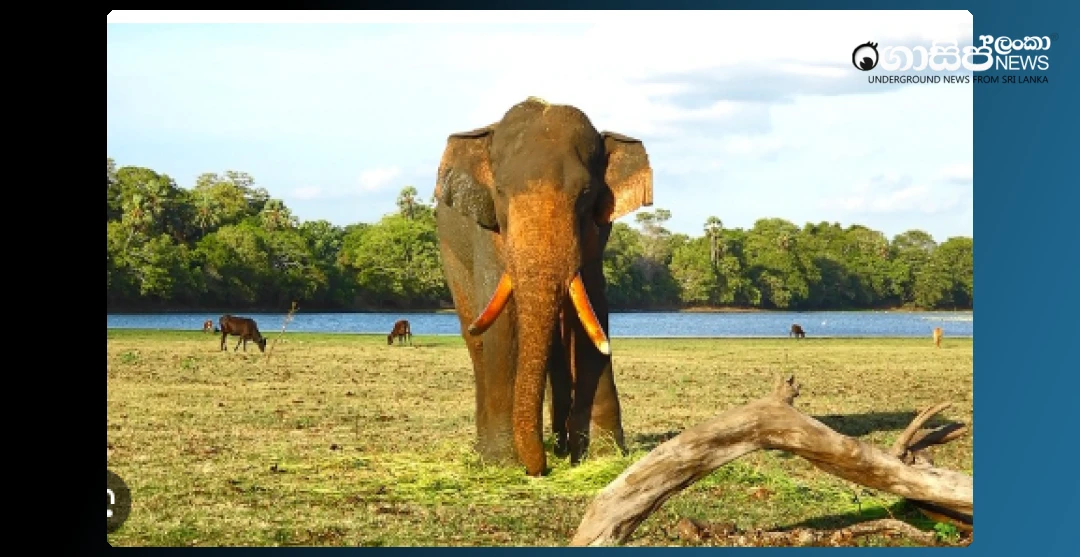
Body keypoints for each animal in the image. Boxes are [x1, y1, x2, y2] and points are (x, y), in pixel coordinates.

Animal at [433, 97, 654, 477]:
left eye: (586, 194)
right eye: (501, 191)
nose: (540, 468)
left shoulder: (597, 232)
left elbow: (594, 305)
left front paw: (603, 457)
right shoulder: (488, 231)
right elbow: (505, 318)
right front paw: (502, 465)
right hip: (450, 253)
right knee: (476, 339)